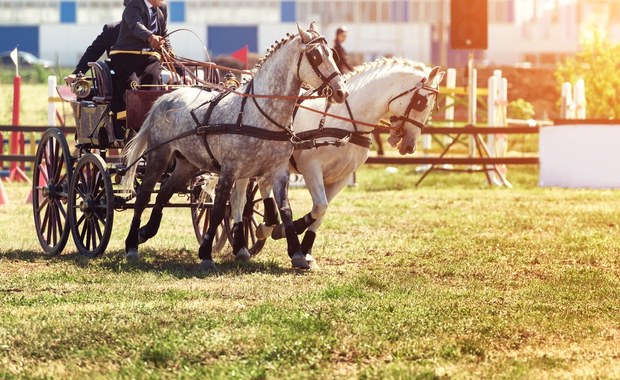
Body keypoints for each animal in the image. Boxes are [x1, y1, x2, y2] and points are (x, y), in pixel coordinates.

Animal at [121, 23, 348, 270]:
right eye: (316, 56)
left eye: (332, 54)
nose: (341, 91)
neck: (260, 114)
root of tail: (165, 98)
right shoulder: (229, 170)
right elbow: (220, 208)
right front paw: (206, 254)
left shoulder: (278, 171)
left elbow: (285, 208)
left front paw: (297, 253)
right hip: (159, 156)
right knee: (144, 196)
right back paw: (132, 244)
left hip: (187, 164)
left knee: (163, 193)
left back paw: (146, 232)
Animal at [230, 58, 444, 268]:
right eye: (421, 103)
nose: (409, 146)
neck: (346, 121)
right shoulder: (311, 169)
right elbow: (319, 206)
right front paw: (285, 232)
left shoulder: (342, 177)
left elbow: (321, 212)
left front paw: (305, 252)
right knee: (239, 200)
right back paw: (242, 246)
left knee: (263, 184)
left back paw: (268, 225)